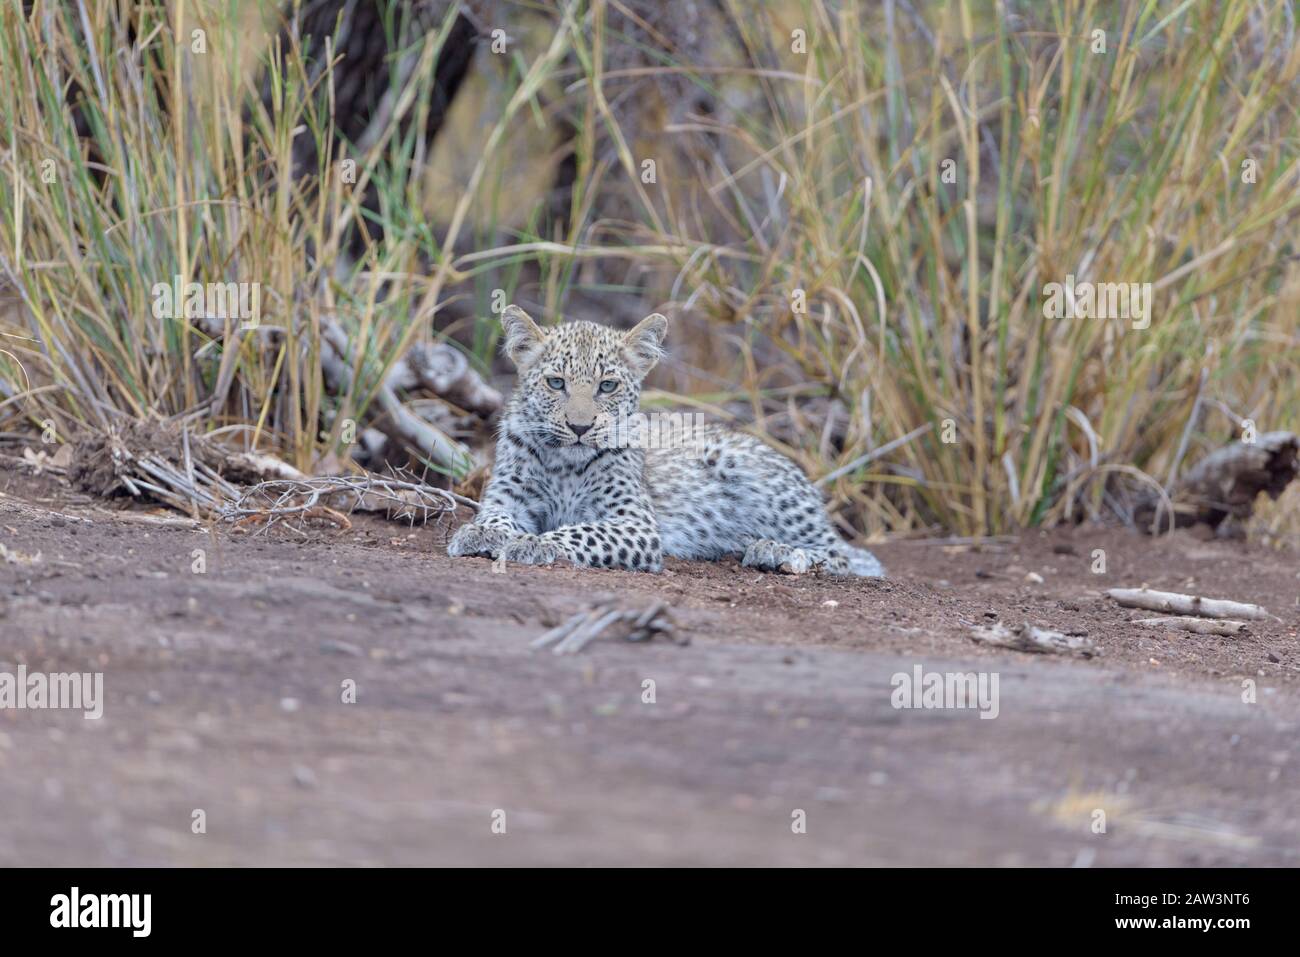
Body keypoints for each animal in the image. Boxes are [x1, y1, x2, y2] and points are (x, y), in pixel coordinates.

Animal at [447, 305, 885, 577]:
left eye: (607, 386)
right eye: (556, 383)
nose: (580, 427)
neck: (563, 462)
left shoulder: (635, 523)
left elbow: (578, 531)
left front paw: (532, 543)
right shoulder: (507, 498)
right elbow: (495, 515)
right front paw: (482, 534)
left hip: (743, 468)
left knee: (839, 552)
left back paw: (776, 551)